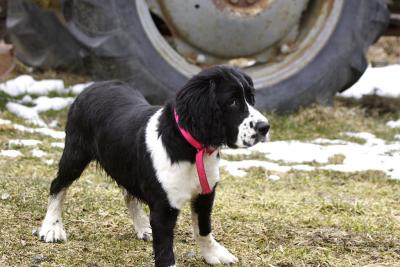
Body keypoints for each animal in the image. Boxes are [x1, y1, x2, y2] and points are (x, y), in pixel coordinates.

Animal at [39, 65, 268, 267]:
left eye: (251, 98)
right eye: (232, 101)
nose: (265, 127)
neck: (189, 149)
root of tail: (94, 85)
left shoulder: (205, 193)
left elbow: (203, 227)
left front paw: (213, 254)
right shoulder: (163, 208)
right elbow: (165, 250)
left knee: (129, 194)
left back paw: (142, 227)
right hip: (75, 154)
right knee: (57, 185)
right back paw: (51, 227)